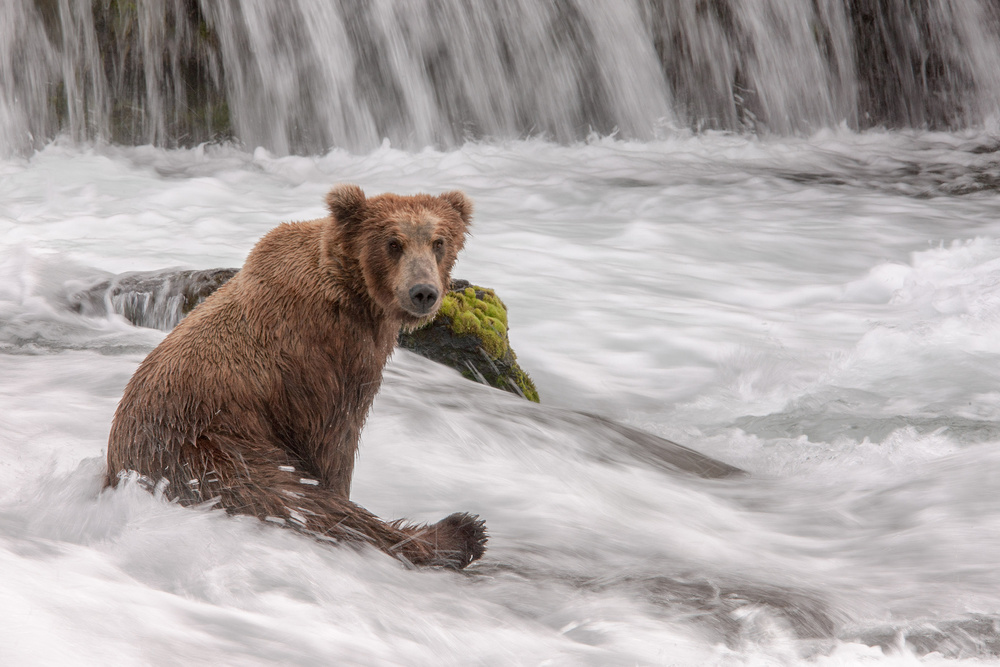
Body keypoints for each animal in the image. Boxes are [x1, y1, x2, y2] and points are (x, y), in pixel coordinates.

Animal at [106, 185, 488, 572]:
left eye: (439, 242)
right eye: (393, 243)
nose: (423, 292)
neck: (356, 297)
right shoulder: (323, 362)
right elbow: (332, 444)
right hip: (206, 447)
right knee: (290, 497)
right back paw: (460, 532)